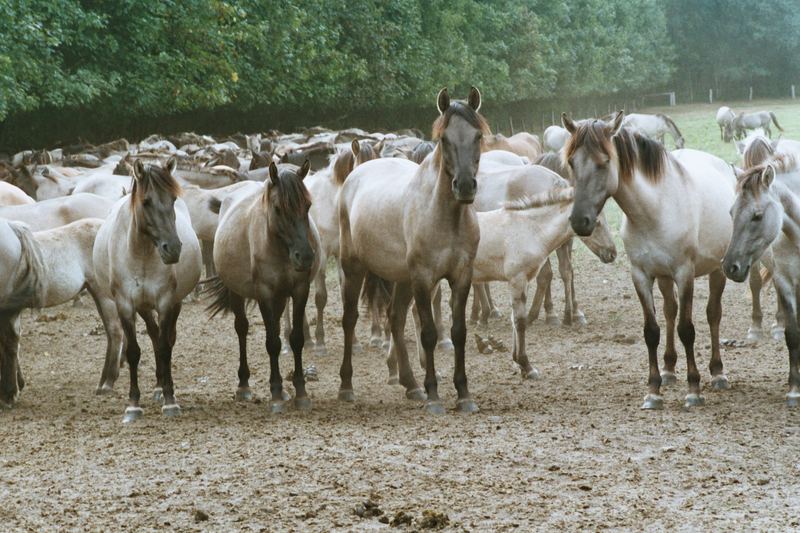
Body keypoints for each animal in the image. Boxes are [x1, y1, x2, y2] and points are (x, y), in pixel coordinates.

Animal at [93, 156, 203, 422]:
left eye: (172, 199)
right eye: (146, 201)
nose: (173, 249)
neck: (141, 252)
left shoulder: (165, 302)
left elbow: (164, 348)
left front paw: (170, 401)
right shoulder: (125, 305)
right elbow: (134, 351)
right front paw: (133, 405)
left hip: (173, 303)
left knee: (165, 339)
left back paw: (163, 388)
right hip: (142, 306)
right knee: (153, 334)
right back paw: (157, 387)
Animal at [205, 162, 320, 412]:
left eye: (308, 205)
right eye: (278, 208)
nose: (305, 257)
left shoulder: (299, 290)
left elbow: (296, 339)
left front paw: (300, 393)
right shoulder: (265, 294)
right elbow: (272, 343)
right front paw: (275, 394)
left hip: (280, 298)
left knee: (275, 327)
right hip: (238, 292)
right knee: (242, 329)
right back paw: (244, 386)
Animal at [340, 87, 488, 414]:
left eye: (478, 136)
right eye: (444, 138)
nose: (465, 186)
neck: (445, 216)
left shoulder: (462, 276)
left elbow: (458, 333)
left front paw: (464, 395)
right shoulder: (423, 278)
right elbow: (429, 333)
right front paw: (434, 395)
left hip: (402, 279)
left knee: (395, 318)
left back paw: (410, 384)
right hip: (353, 268)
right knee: (350, 319)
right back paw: (346, 387)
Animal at [564, 113, 736, 412]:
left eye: (604, 161)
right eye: (572, 162)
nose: (579, 221)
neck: (655, 209)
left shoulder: (684, 274)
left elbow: (687, 329)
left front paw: (693, 390)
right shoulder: (641, 275)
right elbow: (652, 330)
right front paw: (653, 391)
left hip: (716, 270)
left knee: (713, 315)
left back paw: (717, 373)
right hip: (664, 278)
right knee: (669, 312)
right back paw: (668, 371)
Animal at [724, 156, 800, 406]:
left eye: (757, 215)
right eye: (731, 213)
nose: (730, 267)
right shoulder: (785, 282)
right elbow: (792, 335)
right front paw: (794, 390)